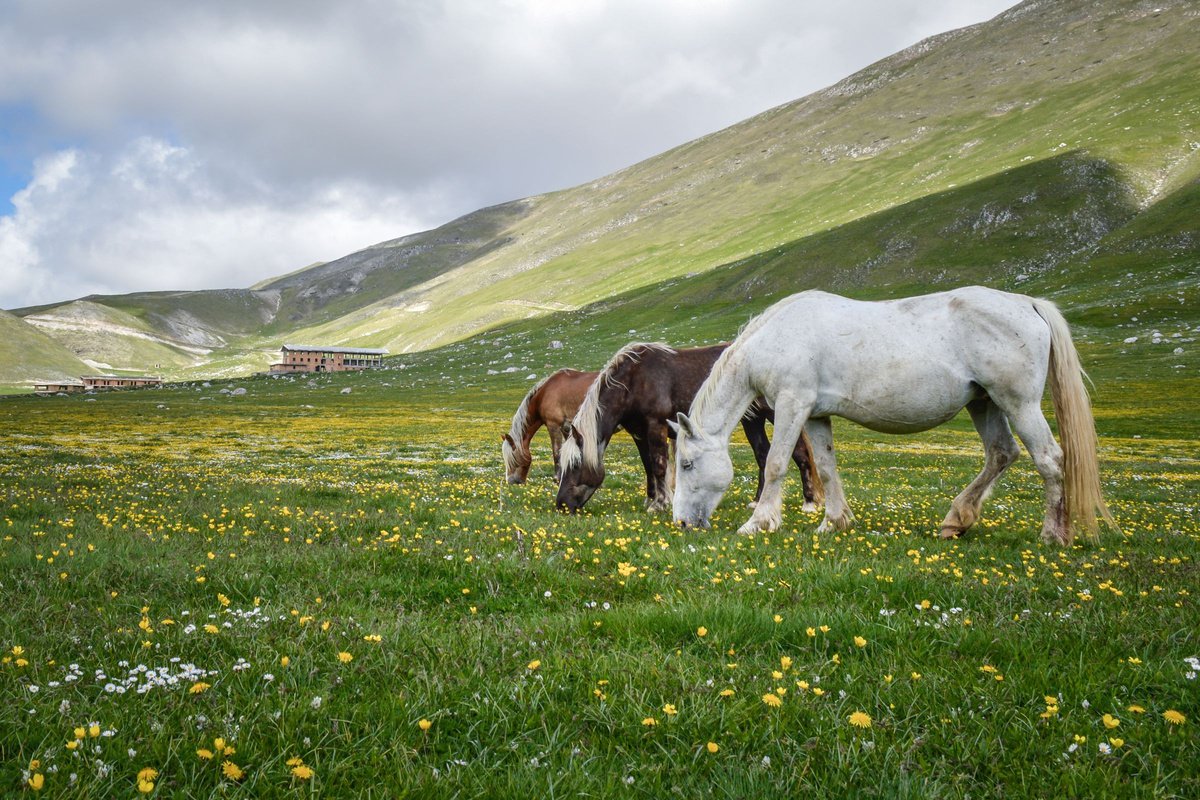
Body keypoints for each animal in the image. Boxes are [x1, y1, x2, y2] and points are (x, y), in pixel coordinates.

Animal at [554, 343, 825, 513]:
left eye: (575, 464)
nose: (561, 504)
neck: (633, 381)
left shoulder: (655, 425)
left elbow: (659, 465)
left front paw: (660, 504)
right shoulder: (639, 433)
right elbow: (648, 466)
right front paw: (651, 499)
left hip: (774, 414)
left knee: (799, 454)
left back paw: (809, 503)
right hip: (752, 420)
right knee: (762, 455)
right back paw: (757, 502)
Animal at [672, 284, 1118, 546]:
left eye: (687, 463)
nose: (681, 523)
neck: (778, 336)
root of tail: (1028, 303)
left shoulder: (792, 404)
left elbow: (776, 464)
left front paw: (759, 522)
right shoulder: (815, 415)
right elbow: (828, 467)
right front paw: (834, 522)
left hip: (1017, 403)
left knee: (1050, 460)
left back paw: (1053, 535)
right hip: (984, 403)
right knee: (1002, 454)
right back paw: (956, 520)